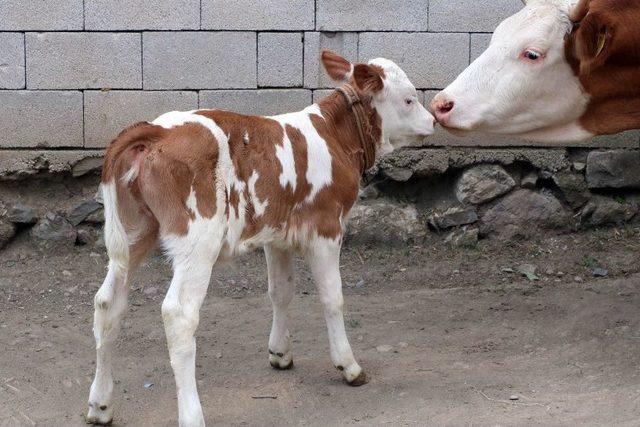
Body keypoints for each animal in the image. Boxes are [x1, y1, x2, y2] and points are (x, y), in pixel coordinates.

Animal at [85, 51, 436, 427]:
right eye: (409, 99)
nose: (432, 120)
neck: (334, 136)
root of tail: (155, 129)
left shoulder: (276, 235)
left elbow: (280, 291)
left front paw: (280, 353)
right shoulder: (326, 228)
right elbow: (333, 298)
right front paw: (349, 366)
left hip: (135, 232)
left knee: (107, 303)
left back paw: (100, 404)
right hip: (197, 240)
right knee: (179, 314)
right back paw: (192, 414)